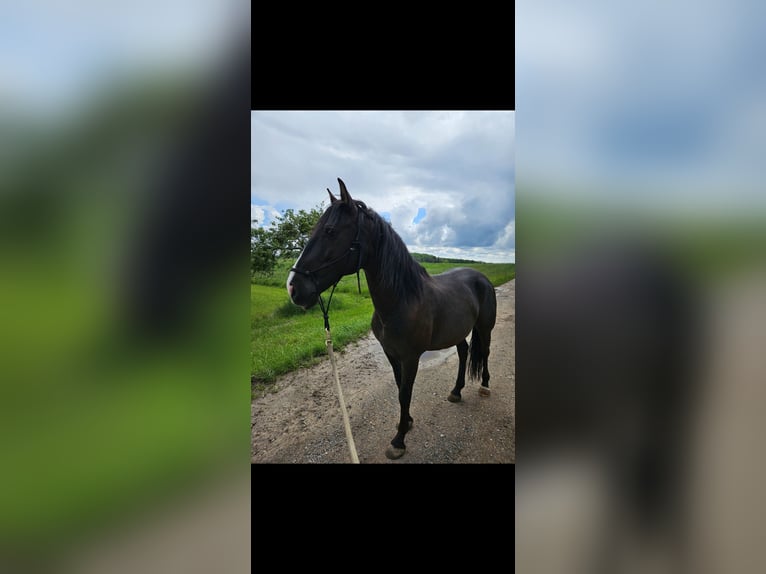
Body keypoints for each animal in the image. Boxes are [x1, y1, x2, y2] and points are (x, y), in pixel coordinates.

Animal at [288, 178, 498, 462]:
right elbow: (400, 389)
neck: (402, 299)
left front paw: (399, 440)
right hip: (457, 332)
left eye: (330, 231)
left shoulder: (410, 357)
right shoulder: (391, 353)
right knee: (464, 352)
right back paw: (456, 391)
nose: (293, 287)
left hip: (485, 327)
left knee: (484, 352)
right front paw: (405, 422)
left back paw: (484, 386)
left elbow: (405, 392)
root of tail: (481, 277)